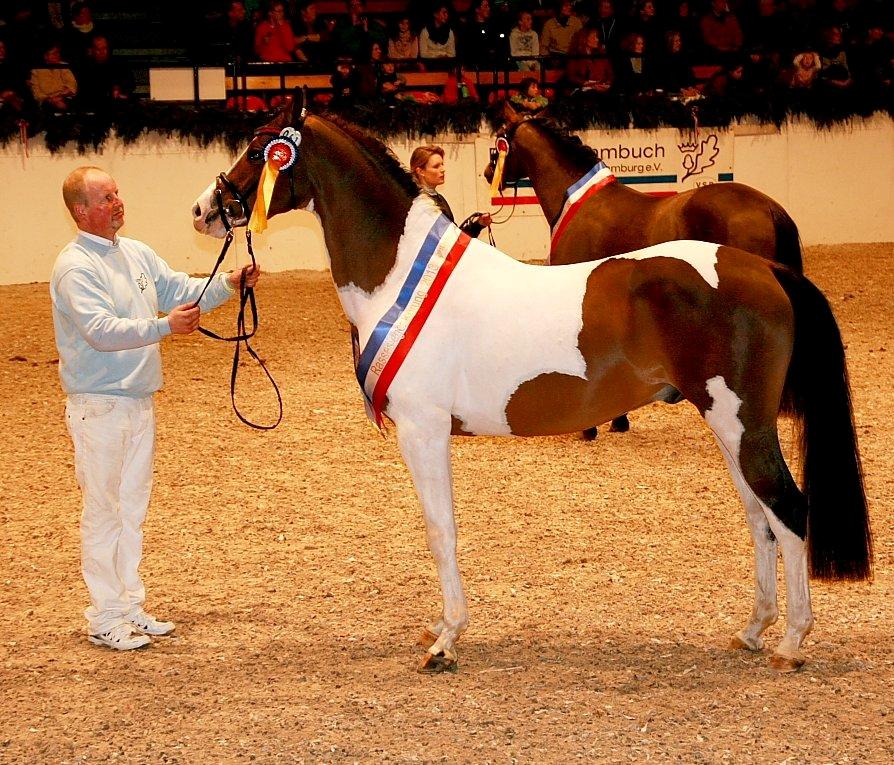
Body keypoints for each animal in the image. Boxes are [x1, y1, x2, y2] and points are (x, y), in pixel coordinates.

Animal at [486, 103, 808, 436]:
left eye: (498, 145)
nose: (487, 173)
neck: (578, 201)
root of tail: (768, 207)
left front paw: (592, 427)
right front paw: (617, 419)